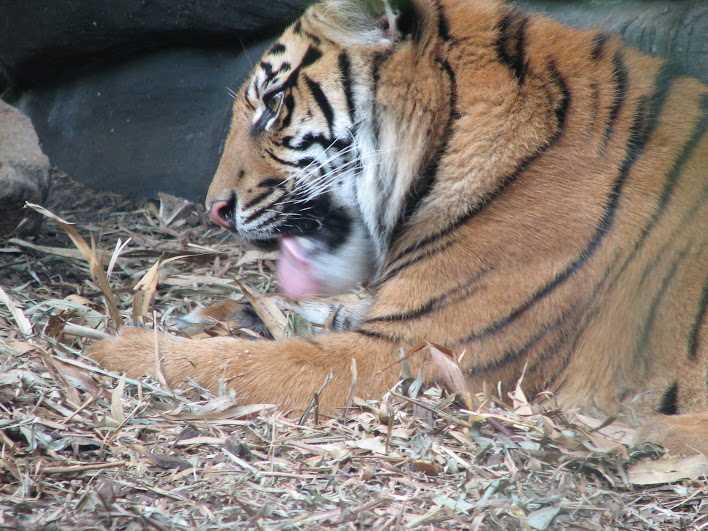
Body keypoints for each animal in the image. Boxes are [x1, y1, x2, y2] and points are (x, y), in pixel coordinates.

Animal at [88, 0, 708, 454]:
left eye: (274, 103)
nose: (214, 209)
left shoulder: (422, 348)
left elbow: (255, 363)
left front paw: (121, 349)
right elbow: (304, 314)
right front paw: (210, 314)